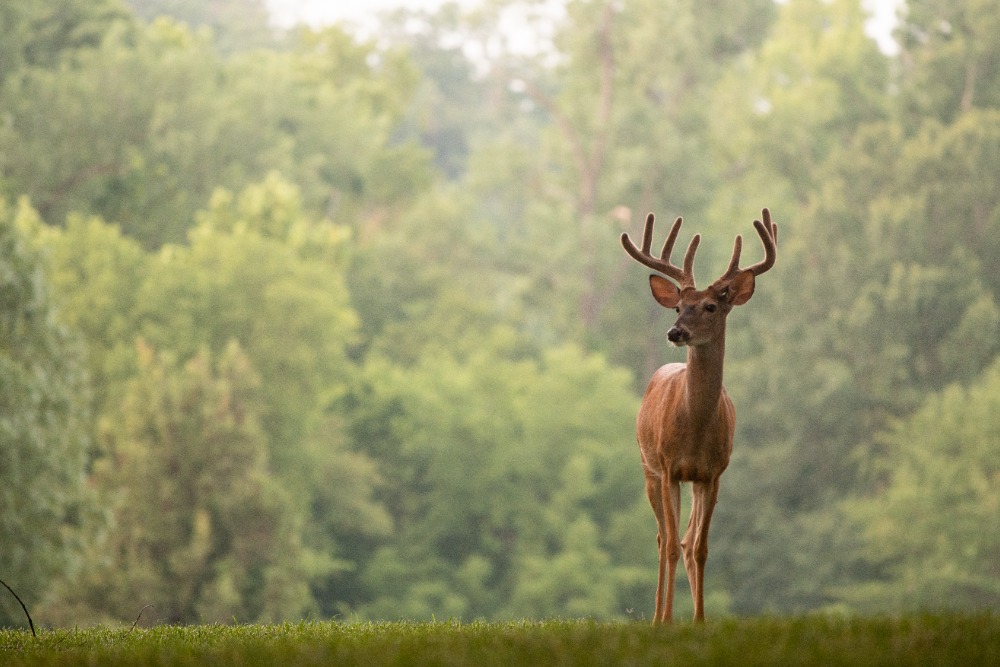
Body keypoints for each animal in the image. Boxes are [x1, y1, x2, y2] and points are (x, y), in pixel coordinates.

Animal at [620, 210, 776, 628]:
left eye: (710, 307)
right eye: (678, 307)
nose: (675, 332)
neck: (695, 428)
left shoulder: (713, 473)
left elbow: (700, 547)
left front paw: (700, 621)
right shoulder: (669, 467)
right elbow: (672, 546)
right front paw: (667, 620)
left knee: (687, 540)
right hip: (648, 469)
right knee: (663, 540)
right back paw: (658, 615)